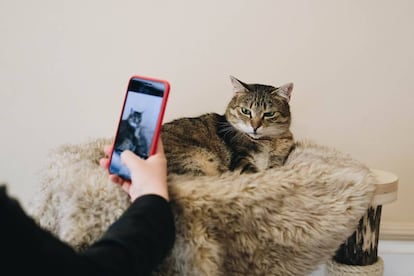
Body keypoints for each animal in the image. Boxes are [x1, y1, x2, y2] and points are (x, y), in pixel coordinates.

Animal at [162, 75, 294, 176]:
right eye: (245, 111)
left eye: (269, 114)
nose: (255, 127)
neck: (266, 141)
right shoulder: (240, 158)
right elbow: (255, 174)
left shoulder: (278, 159)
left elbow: (273, 167)